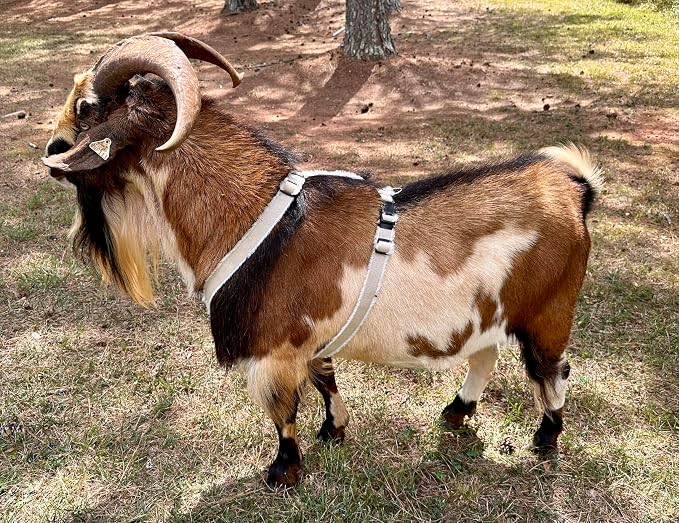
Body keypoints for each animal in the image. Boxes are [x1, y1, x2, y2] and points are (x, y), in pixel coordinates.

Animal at [43, 32, 602, 488]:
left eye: (87, 106)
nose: (51, 150)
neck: (250, 211)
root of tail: (573, 191)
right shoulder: (309, 338)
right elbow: (324, 379)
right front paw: (333, 430)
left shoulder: (274, 349)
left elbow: (282, 409)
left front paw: (283, 472)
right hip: (489, 313)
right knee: (485, 355)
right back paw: (455, 412)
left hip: (548, 312)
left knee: (552, 370)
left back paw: (544, 440)